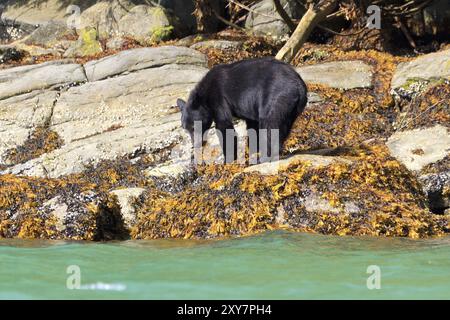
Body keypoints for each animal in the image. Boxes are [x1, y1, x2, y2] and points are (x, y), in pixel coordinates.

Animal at [178, 56, 308, 164]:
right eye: (186, 129)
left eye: (194, 127)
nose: (196, 144)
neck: (205, 95)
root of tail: (299, 85)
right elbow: (252, 126)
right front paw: (252, 151)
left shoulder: (218, 98)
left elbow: (224, 126)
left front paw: (227, 160)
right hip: (290, 109)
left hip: (276, 97)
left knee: (269, 125)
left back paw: (264, 157)